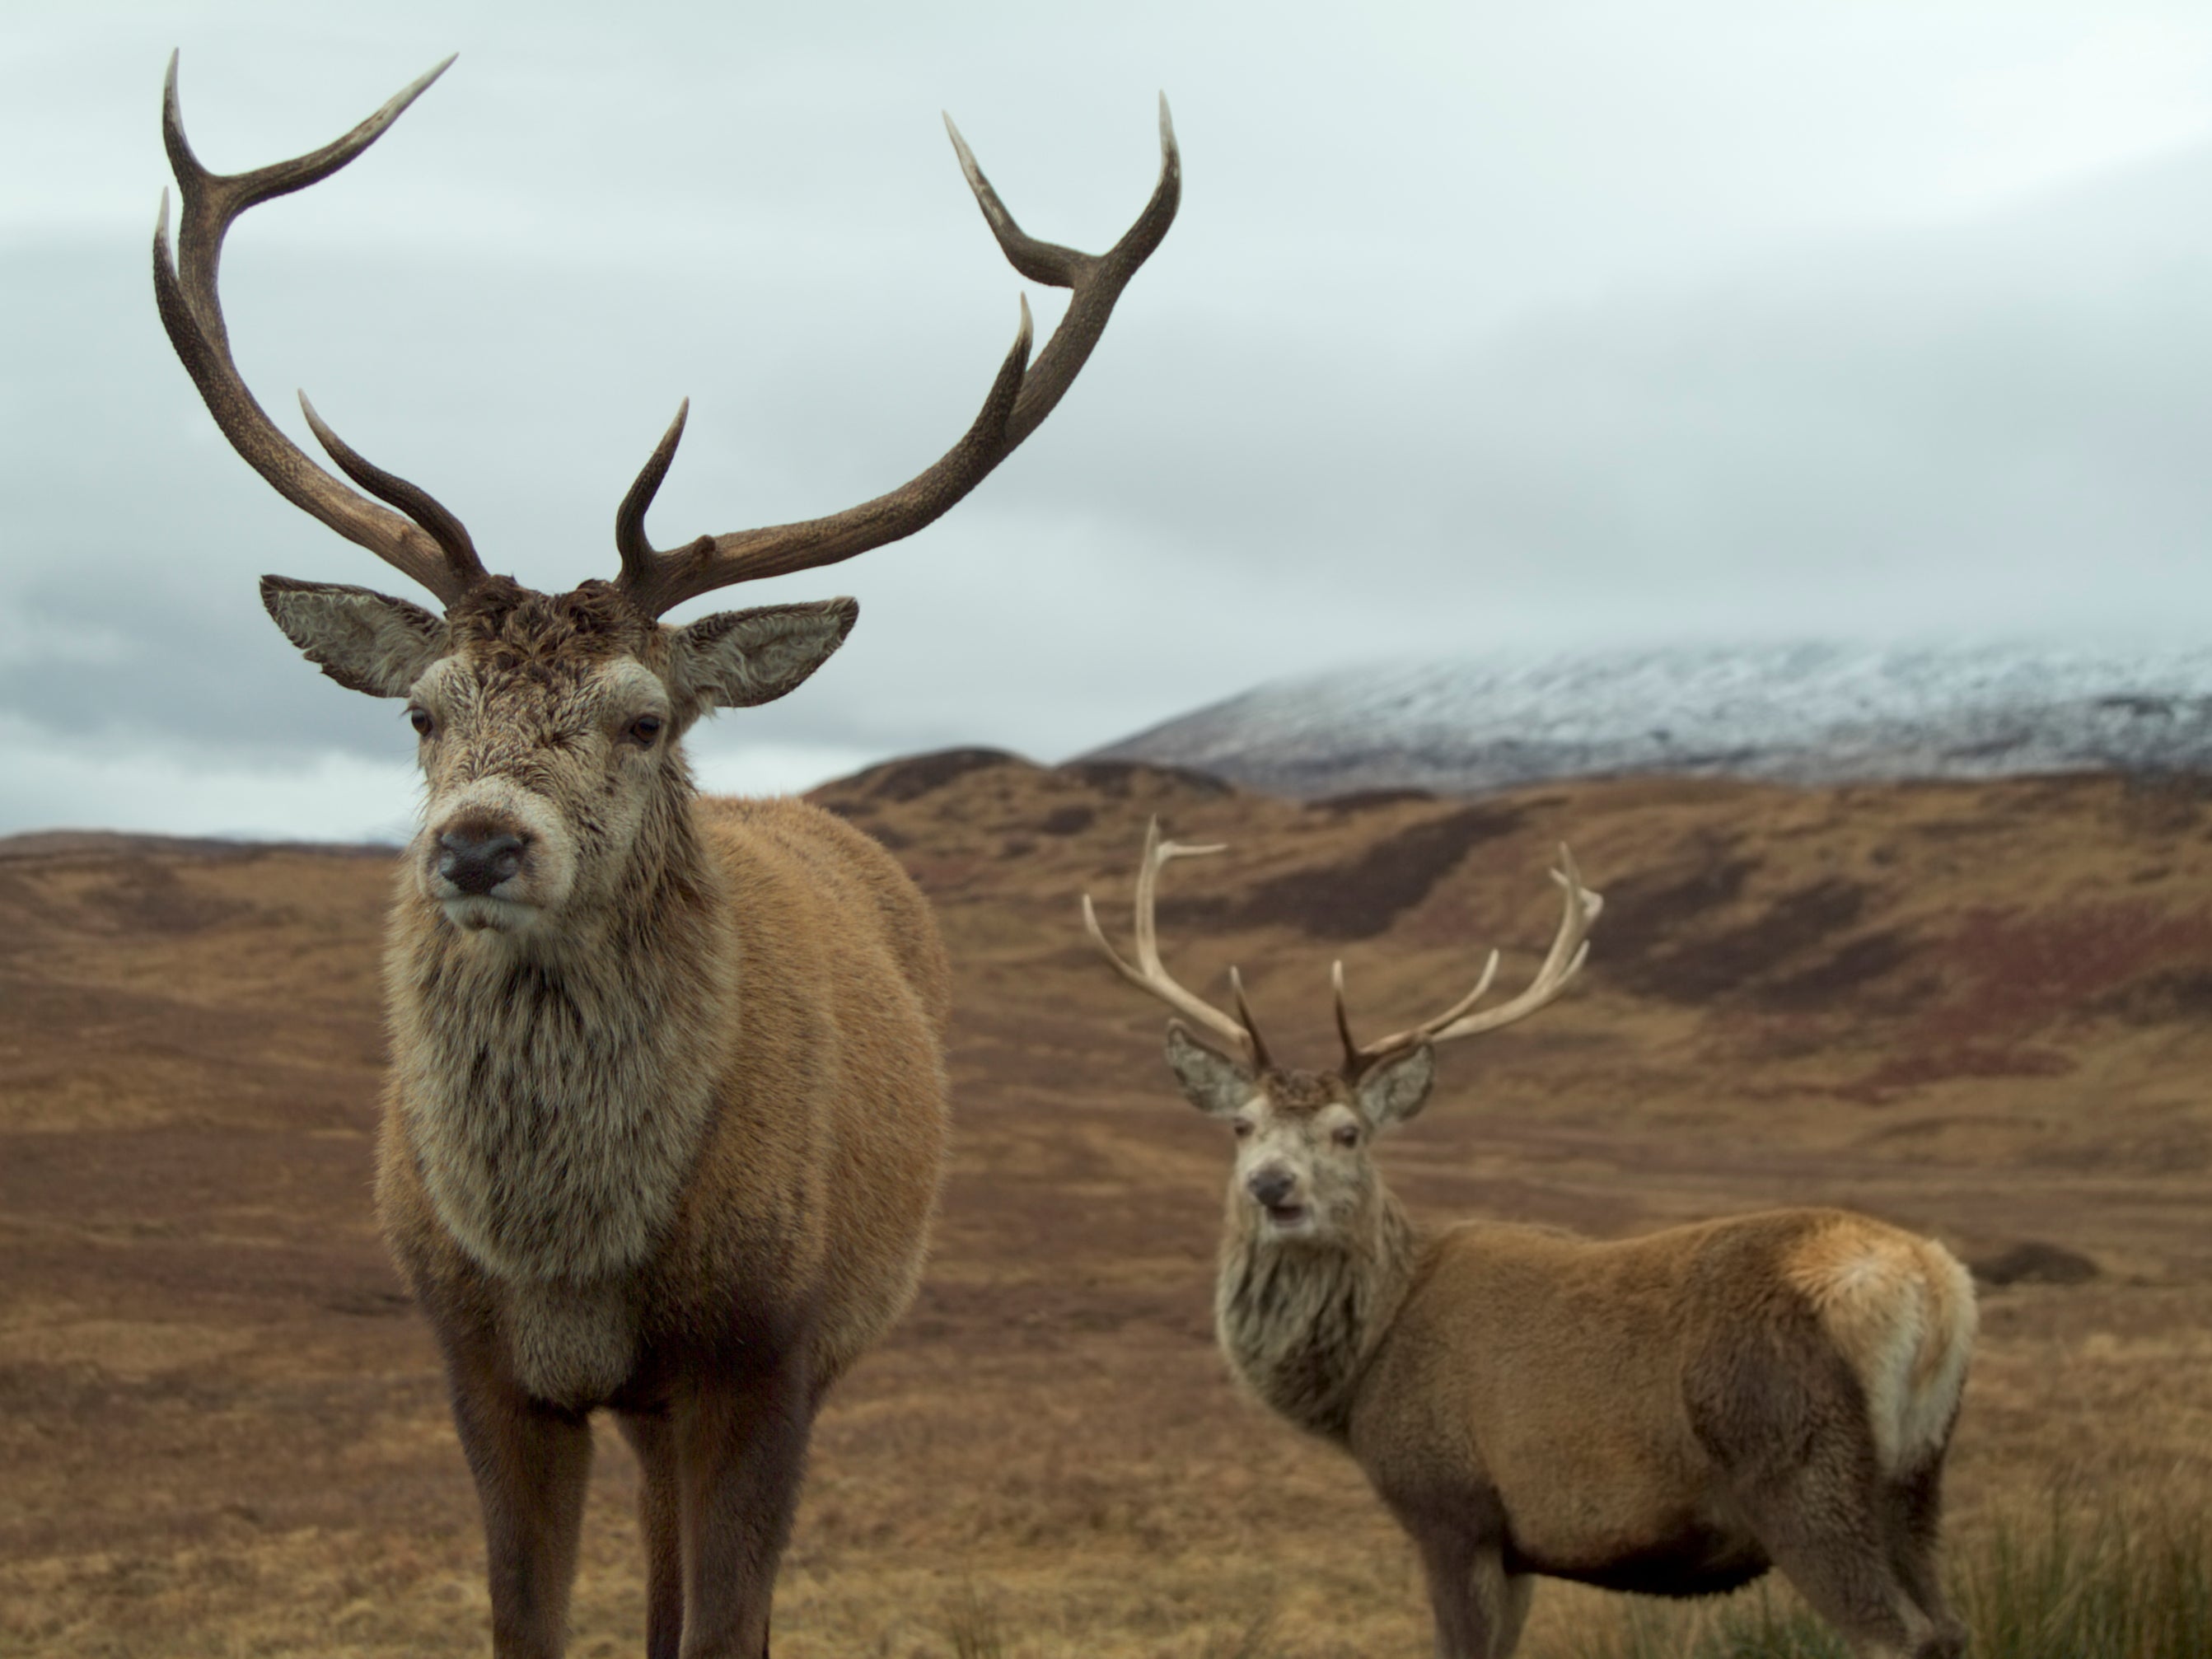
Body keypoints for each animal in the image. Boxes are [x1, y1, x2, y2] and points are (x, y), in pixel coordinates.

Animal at [160, 55, 1176, 1659]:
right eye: (421, 709)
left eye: (643, 717)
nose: (479, 843)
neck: (571, 1261)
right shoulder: (478, 1362)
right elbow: (527, 1620)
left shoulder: (765, 1352)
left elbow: (728, 1619)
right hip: (639, 1406)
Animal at [1083, 827, 1973, 1659]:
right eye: (1241, 1125)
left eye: (1348, 1132)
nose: (1272, 1186)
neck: (1361, 1369)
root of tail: (1932, 1286)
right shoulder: (1513, 1544)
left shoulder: (1450, 1503)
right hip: (1916, 1476)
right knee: (1950, 1624)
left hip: (1797, 1462)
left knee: (1897, 1633)